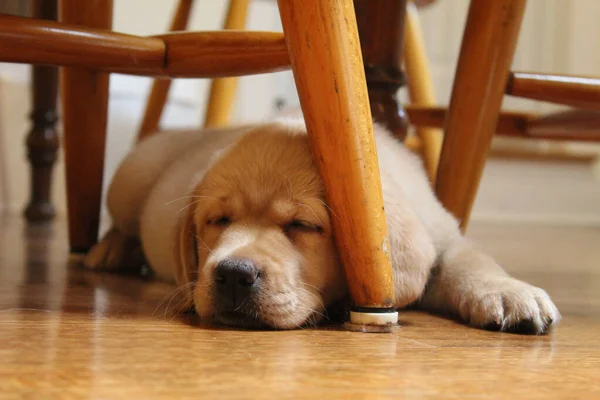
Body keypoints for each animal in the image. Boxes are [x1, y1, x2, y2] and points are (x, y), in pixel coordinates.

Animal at [85, 119, 564, 334]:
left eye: (301, 224)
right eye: (218, 221)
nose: (233, 274)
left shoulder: (444, 233)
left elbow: (472, 261)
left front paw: (508, 292)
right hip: (131, 179)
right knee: (122, 224)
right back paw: (110, 250)